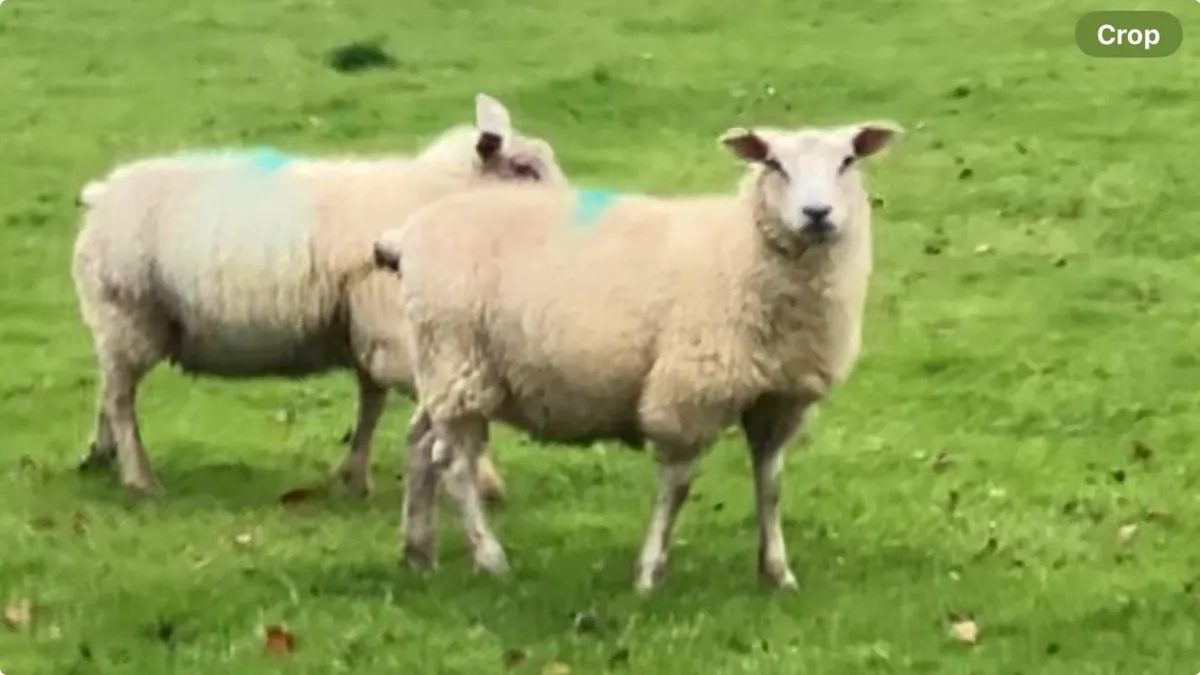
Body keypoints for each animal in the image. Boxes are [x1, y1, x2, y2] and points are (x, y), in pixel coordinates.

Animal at [71, 92, 568, 500]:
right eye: (524, 169)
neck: (436, 199)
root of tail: (102, 193)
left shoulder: (372, 334)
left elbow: (371, 406)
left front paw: (354, 477)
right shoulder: (394, 333)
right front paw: (485, 480)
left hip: (117, 322)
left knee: (108, 387)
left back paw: (100, 455)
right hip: (128, 313)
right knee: (120, 398)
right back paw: (138, 477)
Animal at [374, 119, 902, 592]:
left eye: (848, 160)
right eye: (773, 162)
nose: (817, 213)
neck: (741, 249)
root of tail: (408, 235)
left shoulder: (779, 400)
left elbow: (770, 486)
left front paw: (778, 574)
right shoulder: (687, 394)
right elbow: (678, 488)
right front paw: (650, 573)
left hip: (442, 369)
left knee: (419, 445)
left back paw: (418, 552)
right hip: (456, 359)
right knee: (454, 465)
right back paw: (491, 560)